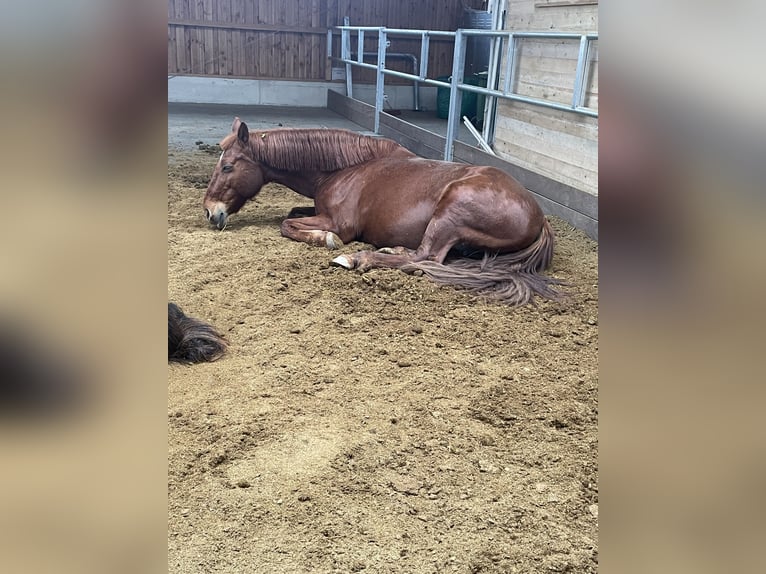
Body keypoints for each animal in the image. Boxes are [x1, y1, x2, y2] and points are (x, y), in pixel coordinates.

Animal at [204, 117, 564, 306]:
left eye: (227, 166)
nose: (210, 212)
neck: (342, 168)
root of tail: (539, 216)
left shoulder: (341, 223)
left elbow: (287, 224)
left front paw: (330, 242)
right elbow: (292, 213)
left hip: (451, 210)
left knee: (427, 258)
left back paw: (358, 258)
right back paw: (391, 249)